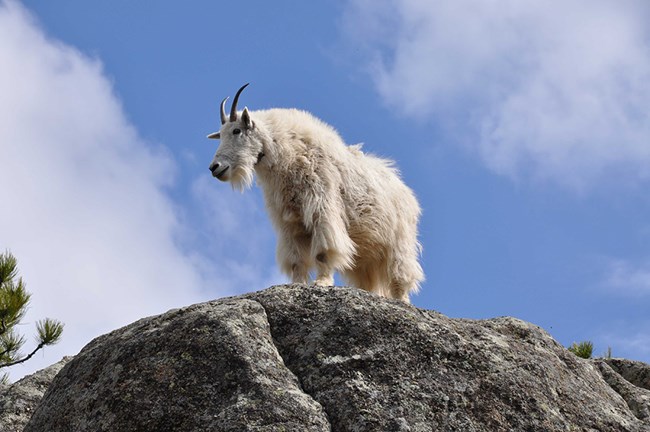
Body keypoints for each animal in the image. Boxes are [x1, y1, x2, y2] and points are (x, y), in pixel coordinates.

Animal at [205, 82, 422, 302]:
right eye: (220, 135)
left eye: (236, 130)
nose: (215, 167)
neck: (287, 156)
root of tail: (407, 193)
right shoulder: (290, 221)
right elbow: (296, 260)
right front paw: (296, 285)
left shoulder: (322, 207)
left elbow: (323, 251)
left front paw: (322, 282)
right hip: (367, 252)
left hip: (399, 241)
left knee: (400, 273)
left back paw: (402, 300)